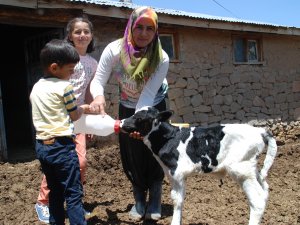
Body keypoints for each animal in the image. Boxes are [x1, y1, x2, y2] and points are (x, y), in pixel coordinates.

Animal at [120, 107, 278, 225]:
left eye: (139, 117)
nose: (121, 122)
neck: (170, 138)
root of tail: (260, 131)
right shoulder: (176, 175)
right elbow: (181, 198)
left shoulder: (177, 172)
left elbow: (177, 199)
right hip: (252, 170)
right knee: (265, 190)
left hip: (241, 170)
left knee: (257, 199)